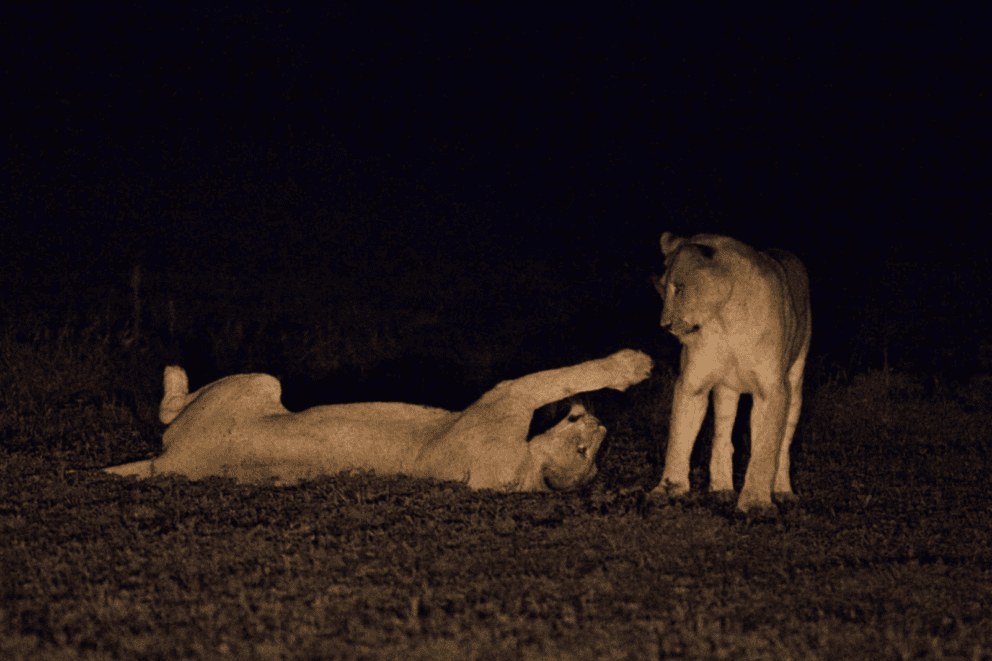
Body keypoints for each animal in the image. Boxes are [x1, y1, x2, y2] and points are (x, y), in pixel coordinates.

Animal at [104, 349, 653, 491]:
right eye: (589, 451)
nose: (600, 427)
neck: (523, 473)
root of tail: (167, 460)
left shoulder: (507, 399)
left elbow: (558, 376)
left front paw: (633, 366)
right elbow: (561, 379)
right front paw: (637, 366)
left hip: (256, 383)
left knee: (168, 408)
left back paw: (173, 373)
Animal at [651, 232, 811, 514]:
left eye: (679, 288)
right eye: (662, 288)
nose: (665, 325)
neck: (725, 318)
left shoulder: (773, 389)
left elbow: (766, 449)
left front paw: (756, 501)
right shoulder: (692, 384)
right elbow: (679, 439)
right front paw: (669, 489)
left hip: (796, 382)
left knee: (783, 445)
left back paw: (782, 490)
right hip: (727, 389)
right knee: (723, 436)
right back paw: (722, 489)